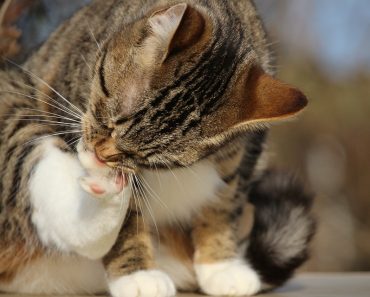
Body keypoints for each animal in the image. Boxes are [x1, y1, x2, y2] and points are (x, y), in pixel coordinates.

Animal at [0, 0, 316, 296]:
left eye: (147, 158)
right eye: (109, 119)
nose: (101, 156)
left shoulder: (245, 149)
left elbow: (226, 199)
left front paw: (221, 265)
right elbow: (129, 221)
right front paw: (137, 274)